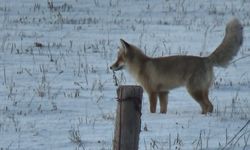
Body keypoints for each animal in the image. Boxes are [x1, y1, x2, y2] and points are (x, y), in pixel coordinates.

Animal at [110, 19, 242, 115]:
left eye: (119, 59)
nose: (111, 67)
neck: (142, 65)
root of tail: (205, 59)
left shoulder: (152, 92)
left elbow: (152, 109)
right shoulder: (163, 92)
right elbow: (163, 109)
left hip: (194, 91)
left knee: (207, 105)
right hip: (203, 91)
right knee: (209, 106)